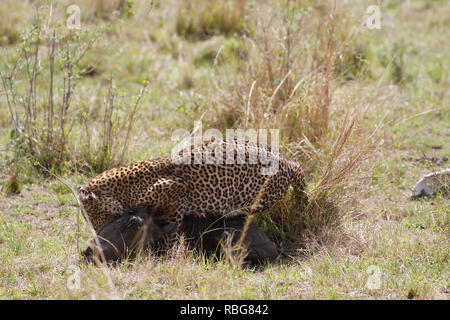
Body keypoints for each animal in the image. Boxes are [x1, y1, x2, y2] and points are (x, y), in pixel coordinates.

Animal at [79, 138, 308, 248]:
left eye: (92, 216)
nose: (98, 232)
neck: (122, 191)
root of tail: (285, 161)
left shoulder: (175, 191)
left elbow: (171, 228)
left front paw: (167, 253)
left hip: (257, 192)